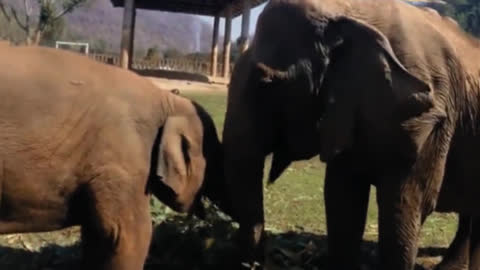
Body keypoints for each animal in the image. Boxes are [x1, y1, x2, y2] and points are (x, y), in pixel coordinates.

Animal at [222, 0, 480, 270]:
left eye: (266, 84)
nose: (260, 259)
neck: (347, 11)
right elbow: (343, 198)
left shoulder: (426, 119)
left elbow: (406, 205)